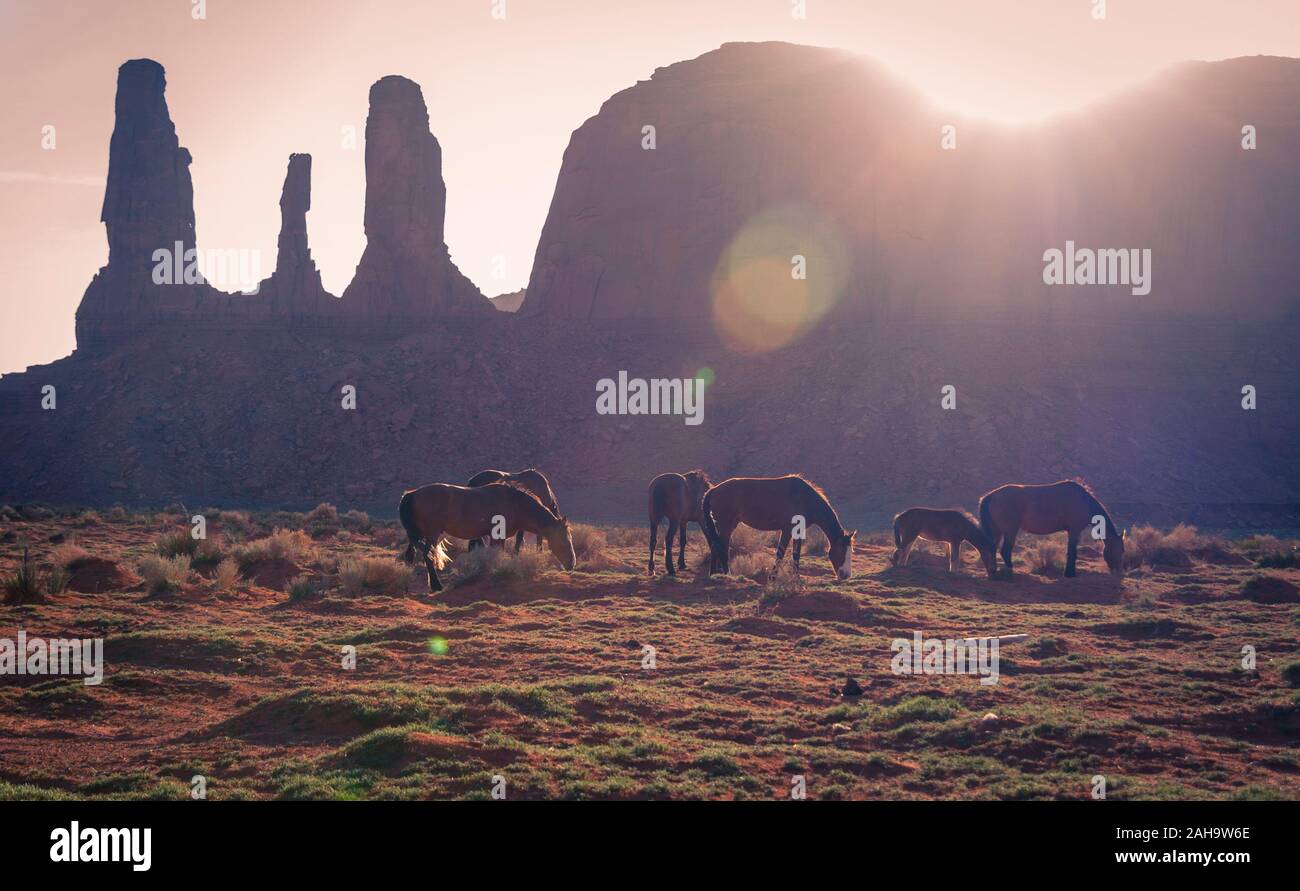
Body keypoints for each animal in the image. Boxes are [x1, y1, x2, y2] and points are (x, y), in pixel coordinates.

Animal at [397, 478, 577, 590]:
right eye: (563, 539)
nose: (572, 563)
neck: (516, 504)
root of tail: (411, 494)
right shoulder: (497, 536)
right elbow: (496, 555)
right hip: (431, 535)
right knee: (428, 556)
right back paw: (436, 586)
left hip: (417, 536)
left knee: (410, 556)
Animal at [702, 473, 852, 577]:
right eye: (842, 551)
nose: (845, 575)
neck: (805, 499)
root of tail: (714, 490)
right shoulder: (787, 530)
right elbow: (780, 553)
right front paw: (773, 578)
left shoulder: (799, 531)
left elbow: (796, 555)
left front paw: (796, 579)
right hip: (725, 526)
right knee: (721, 546)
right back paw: (727, 574)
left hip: (727, 525)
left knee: (716, 545)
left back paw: (713, 574)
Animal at [977, 478, 1123, 577]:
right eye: (1120, 550)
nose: (1118, 572)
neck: (1084, 501)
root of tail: (991, 496)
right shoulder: (1074, 530)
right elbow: (1072, 552)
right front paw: (1070, 573)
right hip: (1010, 531)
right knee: (1005, 551)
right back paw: (1010, 571)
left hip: (997, 531)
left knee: (992, 548)